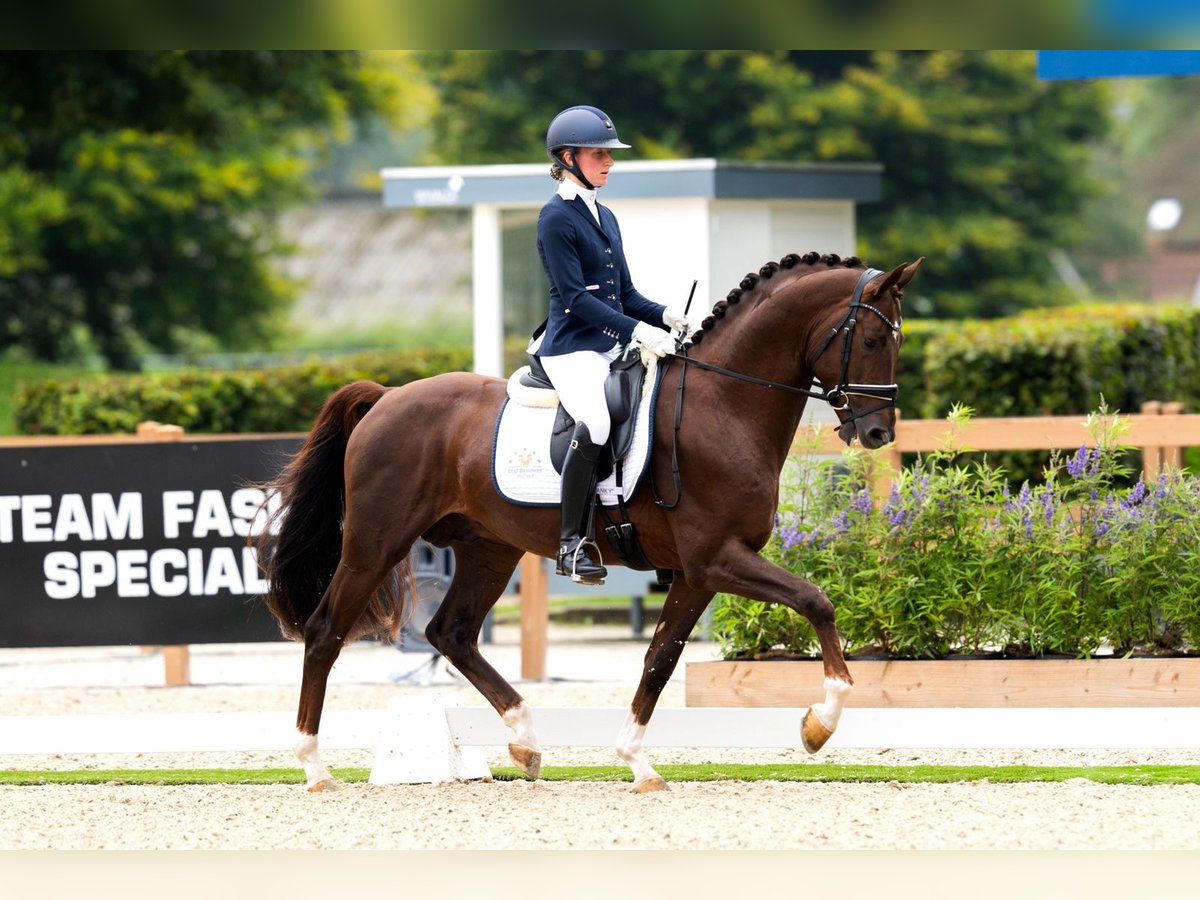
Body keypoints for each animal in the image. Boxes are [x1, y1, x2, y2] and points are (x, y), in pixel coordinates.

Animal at [260, 250, 916, 792]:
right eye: (873, 340)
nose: (878, 434)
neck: (724, 407)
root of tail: (387, 397)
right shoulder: (717, 559)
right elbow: (815, 601)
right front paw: (821, 722)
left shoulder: (696, 574)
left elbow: (660, 658)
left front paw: (638, 763)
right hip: (376, 543)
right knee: (325, 632)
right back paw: (315, 768)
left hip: (488, 548)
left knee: (452, 633)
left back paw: (525, 741)